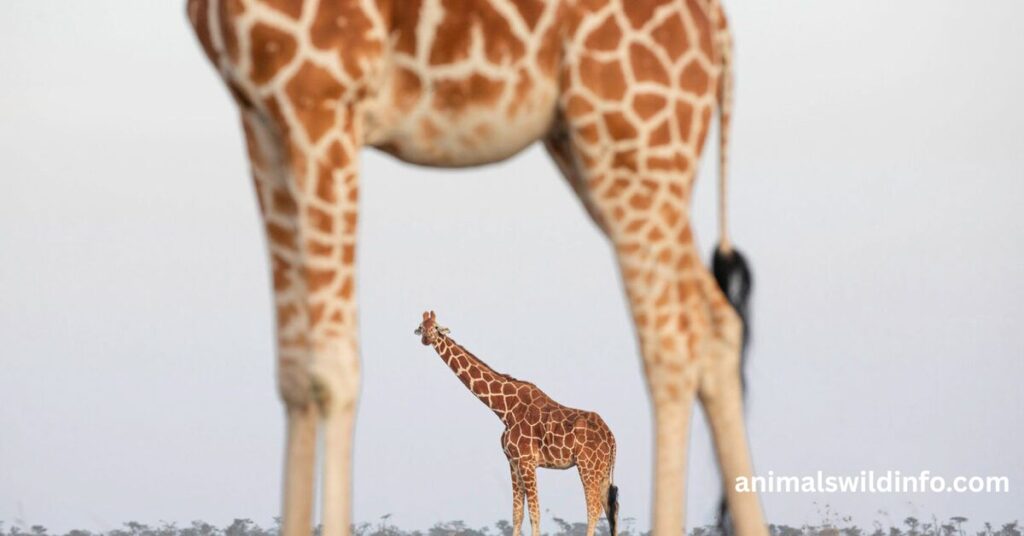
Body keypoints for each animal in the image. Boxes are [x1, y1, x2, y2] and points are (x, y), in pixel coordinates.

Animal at [415, 311, 618, 536]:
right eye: (421, 327)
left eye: (435, 327)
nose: (426, 339)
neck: (504, 409)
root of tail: (612, 439)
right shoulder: (512, 461)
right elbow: (517, 515)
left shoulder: (527, 461)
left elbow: (534, 514)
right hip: (602, 470)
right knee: (611, 511)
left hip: (587, 466)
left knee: (594, 510)